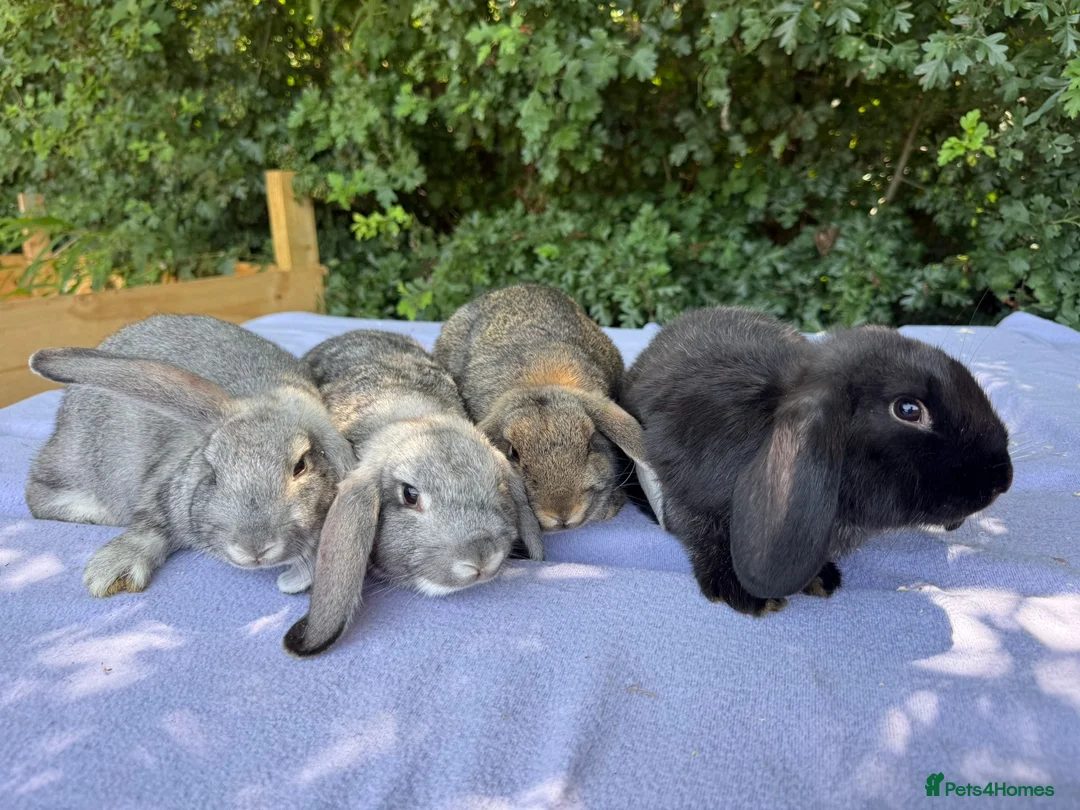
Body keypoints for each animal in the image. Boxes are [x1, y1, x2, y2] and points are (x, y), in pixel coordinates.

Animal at [622, 306, 1014, 616]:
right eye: (907, 409)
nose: (1003, 480)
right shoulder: (683, 495)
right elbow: (701, 534)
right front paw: (748, 595)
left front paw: (822, 579)